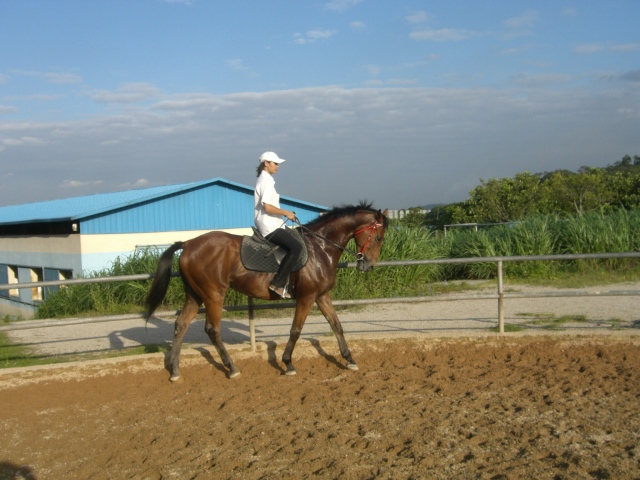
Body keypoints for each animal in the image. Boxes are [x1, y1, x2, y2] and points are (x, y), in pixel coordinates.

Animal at [143, 201, 388, 380]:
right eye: (378, 237)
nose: (368, 266)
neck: (321, 248)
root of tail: (188, 244)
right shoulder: (307, 297)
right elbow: (295, 330)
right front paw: (288, 363)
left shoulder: (321, 296)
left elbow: (337, 325)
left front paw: (350, 360)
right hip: (214, 294)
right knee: (212, 329)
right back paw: (232, 368)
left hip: (195, 295)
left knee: (181, 325)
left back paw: (175, 371)